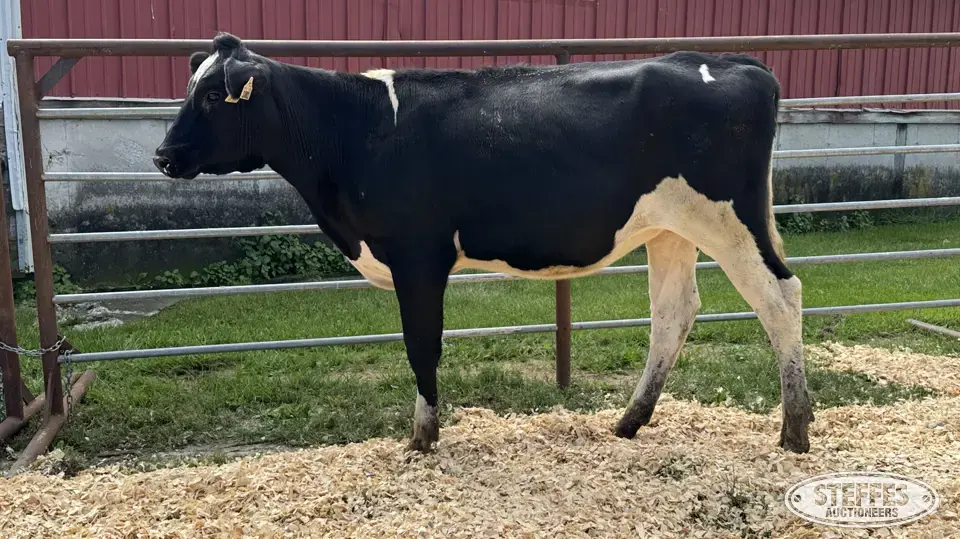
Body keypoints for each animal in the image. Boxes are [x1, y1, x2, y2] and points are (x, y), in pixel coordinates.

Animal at [154, 32, 814, 454]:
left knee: (780, 297)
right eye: (190, 88)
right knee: (674, 312)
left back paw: (795, 430)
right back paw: (629, 423)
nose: (163, 155)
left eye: (212, 95)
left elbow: (421, 346)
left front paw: (422, 439)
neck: (354, 131)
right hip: (671, 229)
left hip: (729, 220)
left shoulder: (418, 254)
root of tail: (732, 62)